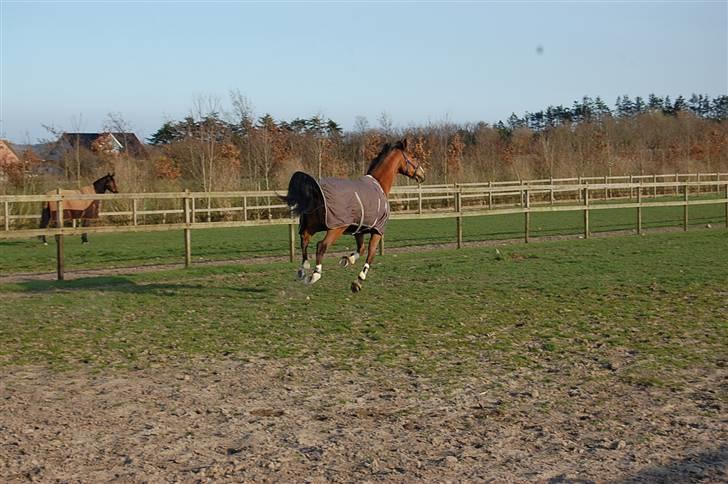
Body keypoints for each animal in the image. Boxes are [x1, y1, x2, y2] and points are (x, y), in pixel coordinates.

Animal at [280, 138, 426, 294]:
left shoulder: (358, 229)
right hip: (335, 228)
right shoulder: (377, 231)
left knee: (304, 241)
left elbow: (361, 250)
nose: (422, 174)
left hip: (312, 226)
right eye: (413, 157)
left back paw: (303, 270)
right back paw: (314, 275)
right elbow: (371, 254)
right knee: (321, 246)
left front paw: (347, 260)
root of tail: (315, 190)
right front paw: (358, 281)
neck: (379, 184)